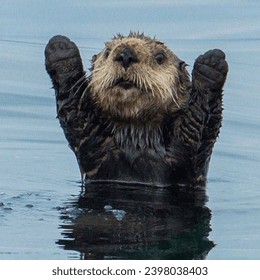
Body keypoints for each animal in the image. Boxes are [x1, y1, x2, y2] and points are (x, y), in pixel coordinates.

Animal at [44, 31, 228, 187]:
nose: (126, 55)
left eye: (160, 57)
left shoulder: (190, 153)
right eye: (107, 52)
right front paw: (60, 49)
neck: (137, 138)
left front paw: (211, 63)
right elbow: (75, 111)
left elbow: (199, 122)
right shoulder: (92, 144)